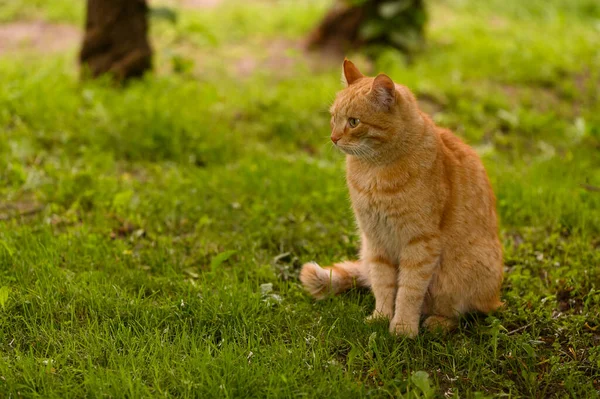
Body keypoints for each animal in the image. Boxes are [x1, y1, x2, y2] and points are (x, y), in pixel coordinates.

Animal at [300, 61, 502, 340]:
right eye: (333, 118)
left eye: (353, 122)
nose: (333, 138)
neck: (374, 171)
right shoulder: (376, 240)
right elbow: (384, 284)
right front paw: (381, 317)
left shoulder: (420, 242)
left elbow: (409, 289)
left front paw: (403, 328)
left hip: (465, 274)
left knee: (463, 312)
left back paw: (437, 323)